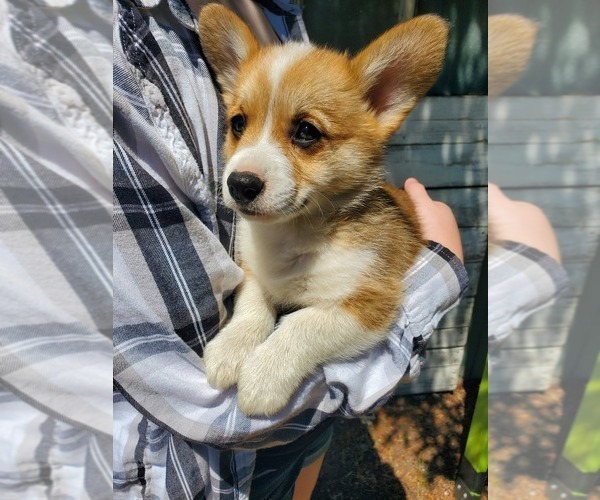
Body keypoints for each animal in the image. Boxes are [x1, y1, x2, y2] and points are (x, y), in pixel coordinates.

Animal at [199, 4, 448, 418]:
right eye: (237, 123)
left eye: (307, 132)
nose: (239, 184)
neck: (294, 232)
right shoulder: (254, 274)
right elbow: (252, 308)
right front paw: (231, 349)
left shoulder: (369, 303)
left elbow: (306, 323)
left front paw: (264, 375)